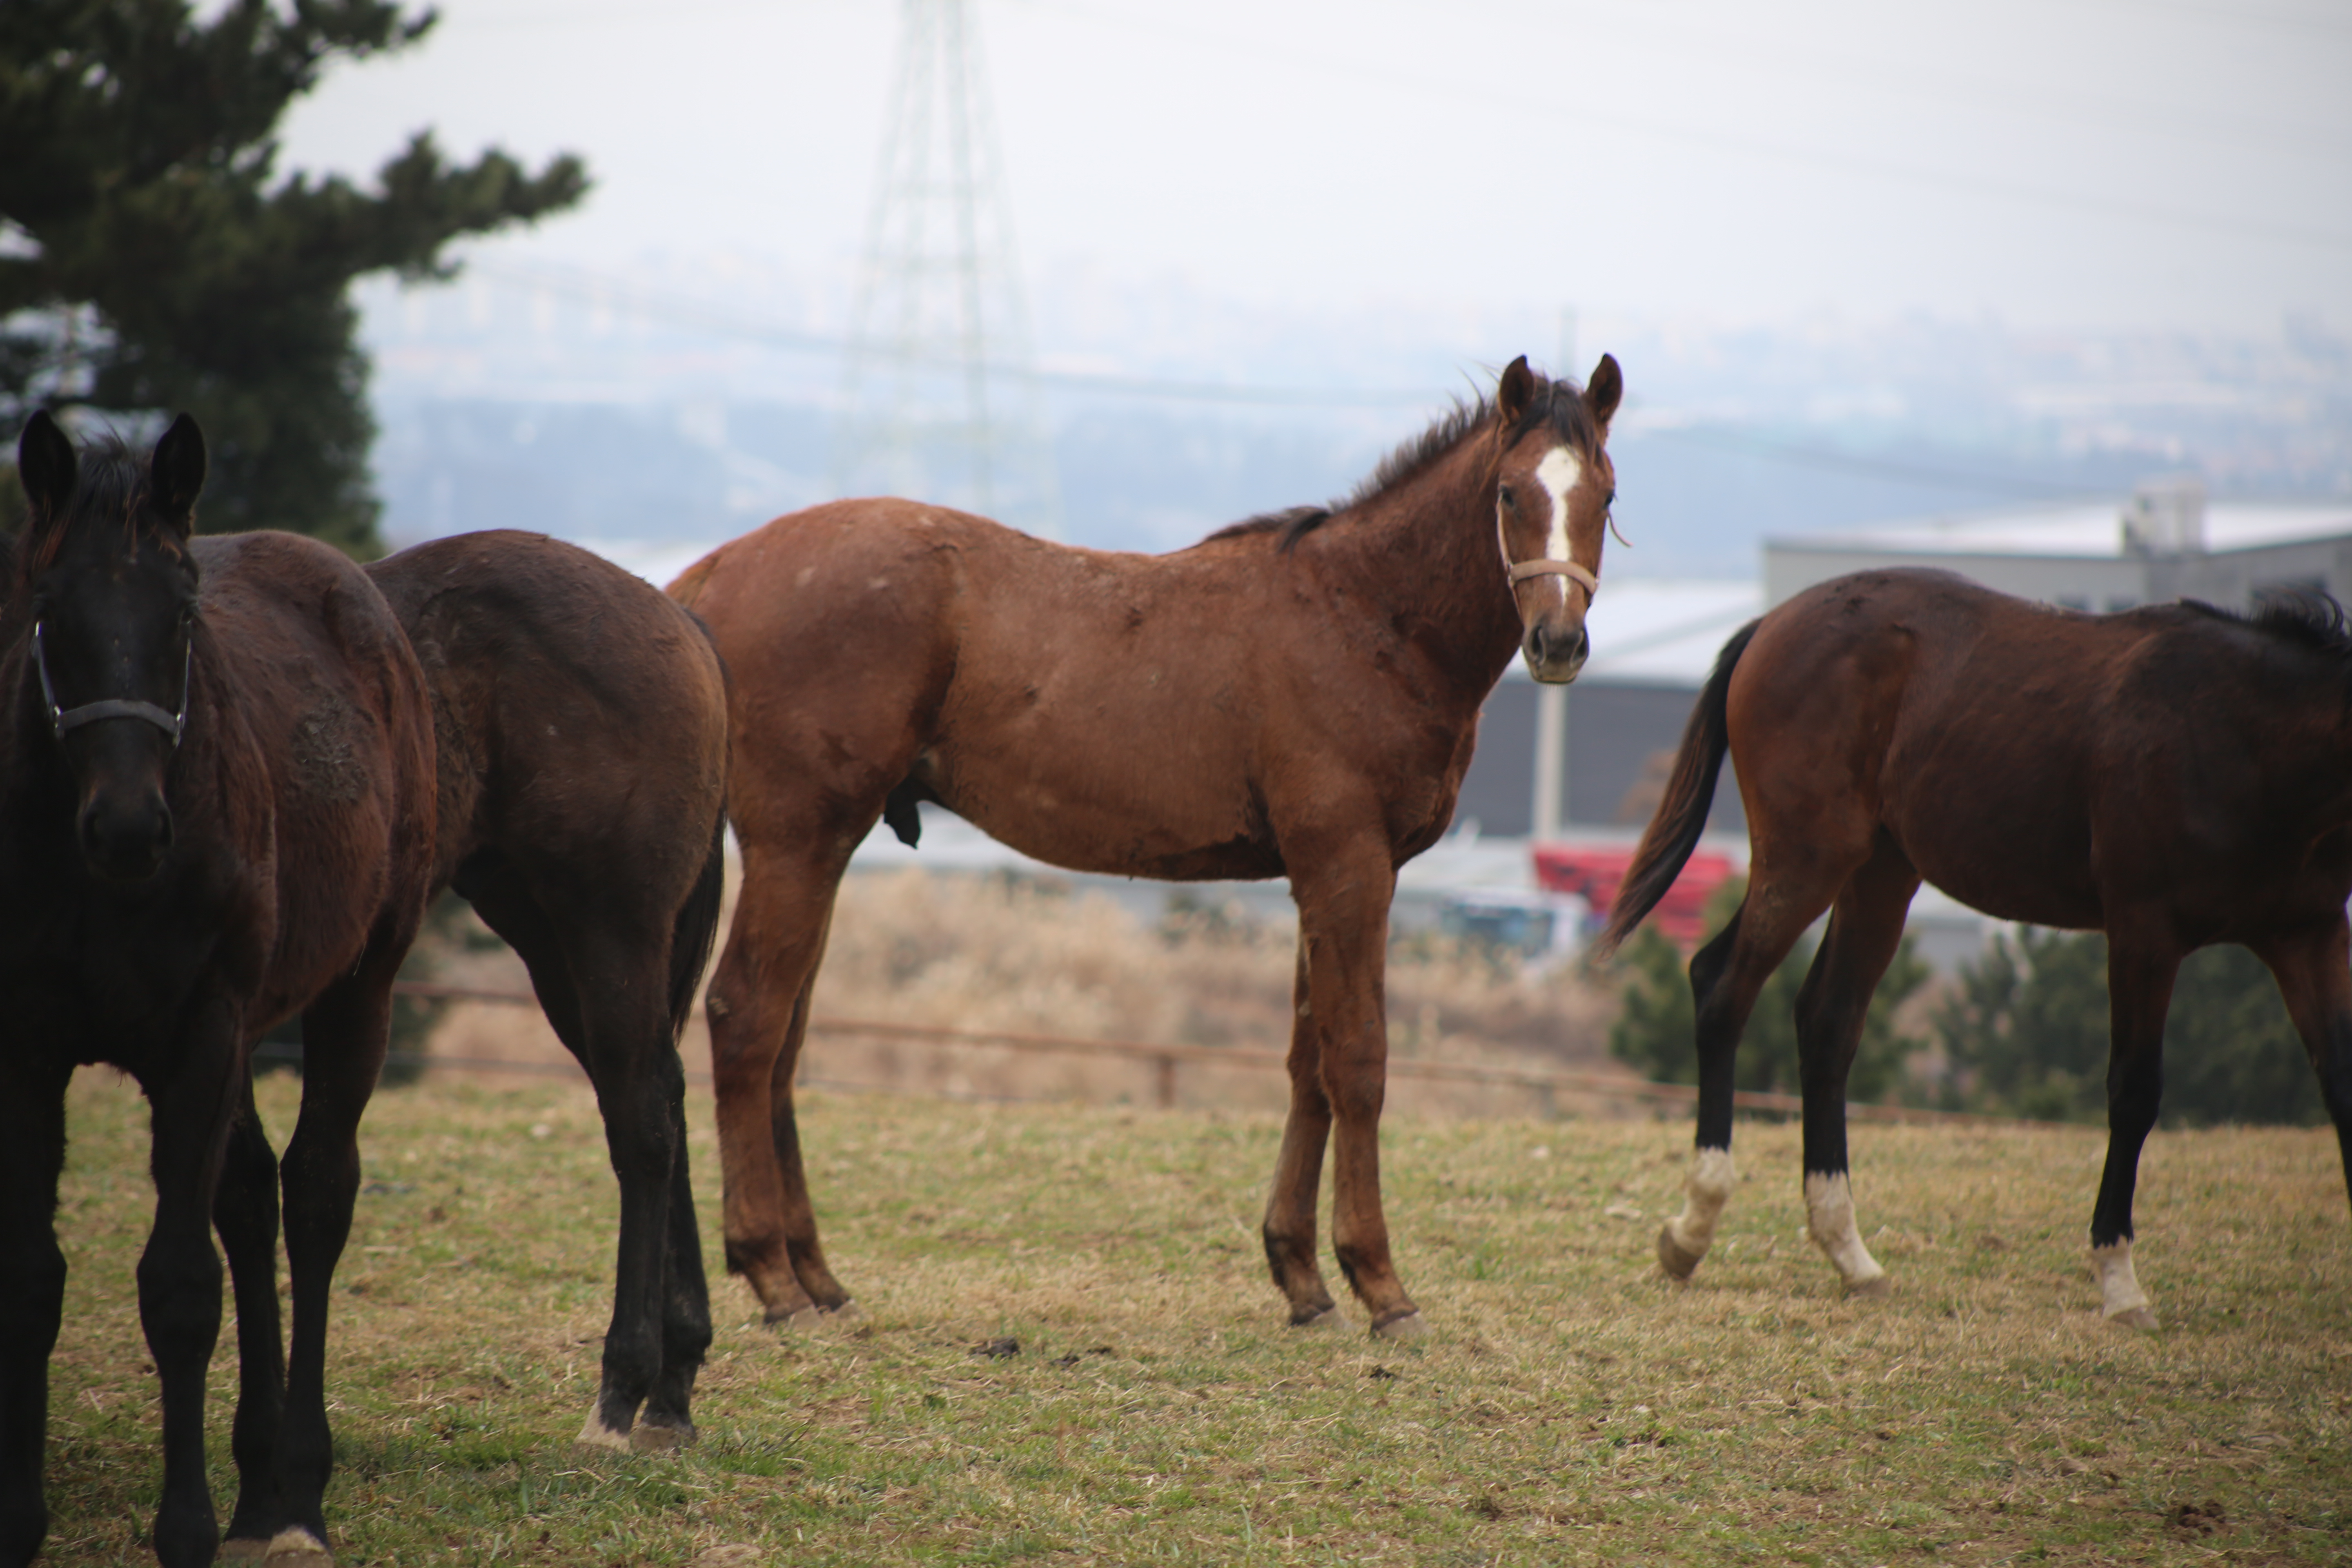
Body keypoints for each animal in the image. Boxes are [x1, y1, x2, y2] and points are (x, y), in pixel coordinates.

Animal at [0, 416, 440, 1568]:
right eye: (48, 605)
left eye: (185, 611)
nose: (128, 827)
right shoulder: (29, 1047)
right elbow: (34, 1276)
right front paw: (22, 1518)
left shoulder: (199, 1031)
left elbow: (180, 1286)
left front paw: (185, 1526)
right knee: (247, 1194)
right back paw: (260, 1485)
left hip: (356, 986)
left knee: (316, 1195)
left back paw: (302, 1490)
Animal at [362, 533, 729, 1457]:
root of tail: (680, 619)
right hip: (555, 940)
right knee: (659, 1092)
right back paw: (673, 1380)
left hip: (607, 931)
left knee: (643, 1117)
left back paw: (624, 1388)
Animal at [663, 350, 1618, 1335]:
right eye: (1509, 492)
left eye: (1606, 495)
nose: (1558, 641)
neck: (1364, 617)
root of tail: (715, 572)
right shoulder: (1351, 868)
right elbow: (1357, 1060)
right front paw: (1381, 1285)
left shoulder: (1321, 878)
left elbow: (1305, 1065)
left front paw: (1302, 1278)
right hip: (796, 844)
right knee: (747, 1017)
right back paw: (771, 1275)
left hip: (823, 851)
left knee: (785, 1039)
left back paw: (815, 1276)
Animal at [1599, 564, 2352, 1326]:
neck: (2245, 730)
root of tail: (1772, 623)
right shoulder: (2144, 930)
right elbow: (2135, 1091)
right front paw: (2119, 1281)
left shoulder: (2310, 933)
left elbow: (2341, 1083)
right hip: (1806, 859)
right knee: (1722, 989)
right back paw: (1694, 1230)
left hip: (1880, 873)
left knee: (1827, 1024)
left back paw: (1849, 1253)